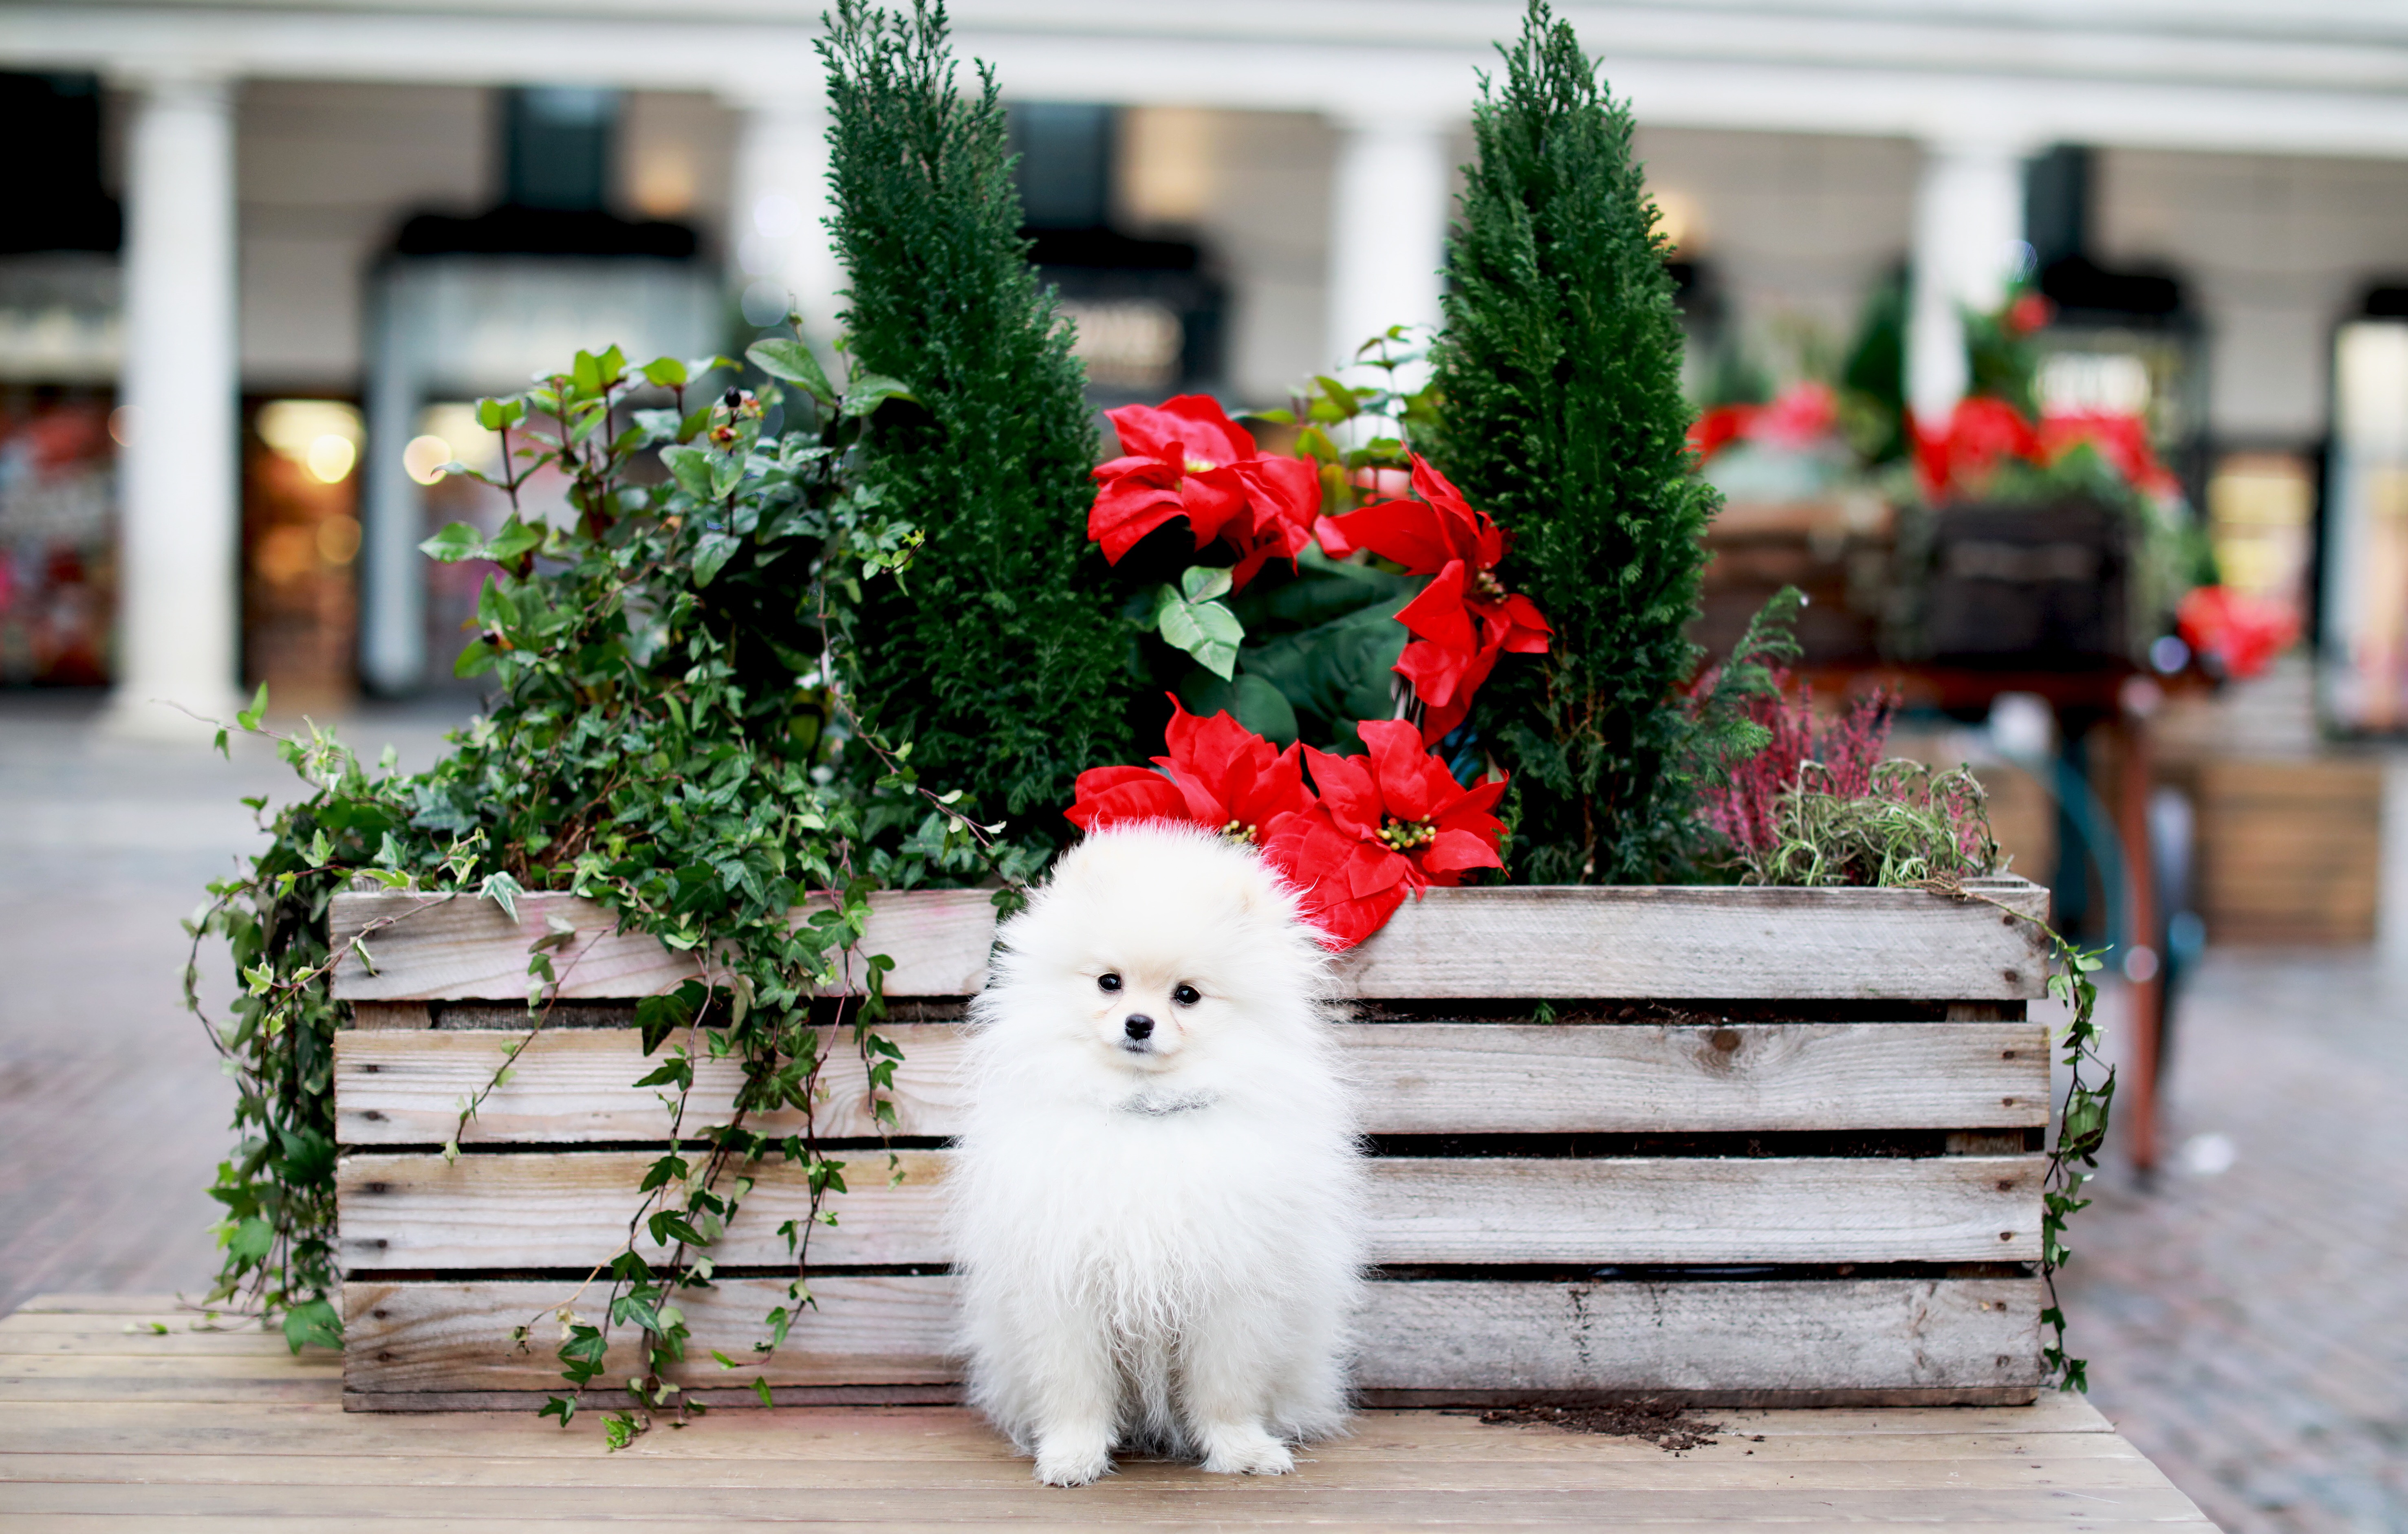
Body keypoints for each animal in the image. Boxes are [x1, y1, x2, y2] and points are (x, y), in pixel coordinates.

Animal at [944, 823, 1368, 1483]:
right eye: (1108, 982)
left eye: (1186, 995)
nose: (1138, 1023)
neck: (1145, 1113)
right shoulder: (1066, 1286)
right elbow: (1074, 1387)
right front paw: (1073, 1455)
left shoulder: (1231, 1288)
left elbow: (1226, 1388)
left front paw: (1241, 1451)